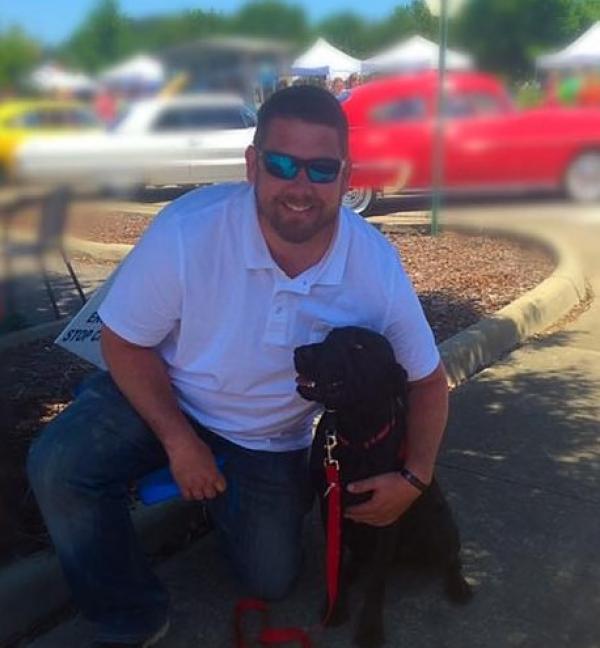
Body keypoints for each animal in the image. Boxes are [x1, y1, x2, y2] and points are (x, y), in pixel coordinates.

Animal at [296, 330, 474, 648]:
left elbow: (377, 582)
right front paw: (335, 606)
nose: (299, 353)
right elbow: (334, 560)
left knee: (452, 558)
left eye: (357, 346)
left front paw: (369, 629)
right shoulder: (330, 507)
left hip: (440, 525)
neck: (355, 436)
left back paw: (458, 585)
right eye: (327, 336)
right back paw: (352, 570)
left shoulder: (387, 514)